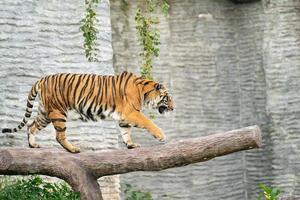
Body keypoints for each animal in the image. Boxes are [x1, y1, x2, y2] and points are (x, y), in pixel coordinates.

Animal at [1, 72, 175, 153]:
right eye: (167, 98)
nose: (173, 108)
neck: (144, 92)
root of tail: (42, 79)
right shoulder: (132, 113)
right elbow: (149, 122)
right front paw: (161, 135)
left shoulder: (124, 117)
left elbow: (126, 132)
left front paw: (131, 145)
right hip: (58, 112)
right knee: (59, 136)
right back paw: (73, 149)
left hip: (45, 113)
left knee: (31, 126)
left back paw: (33, 145)